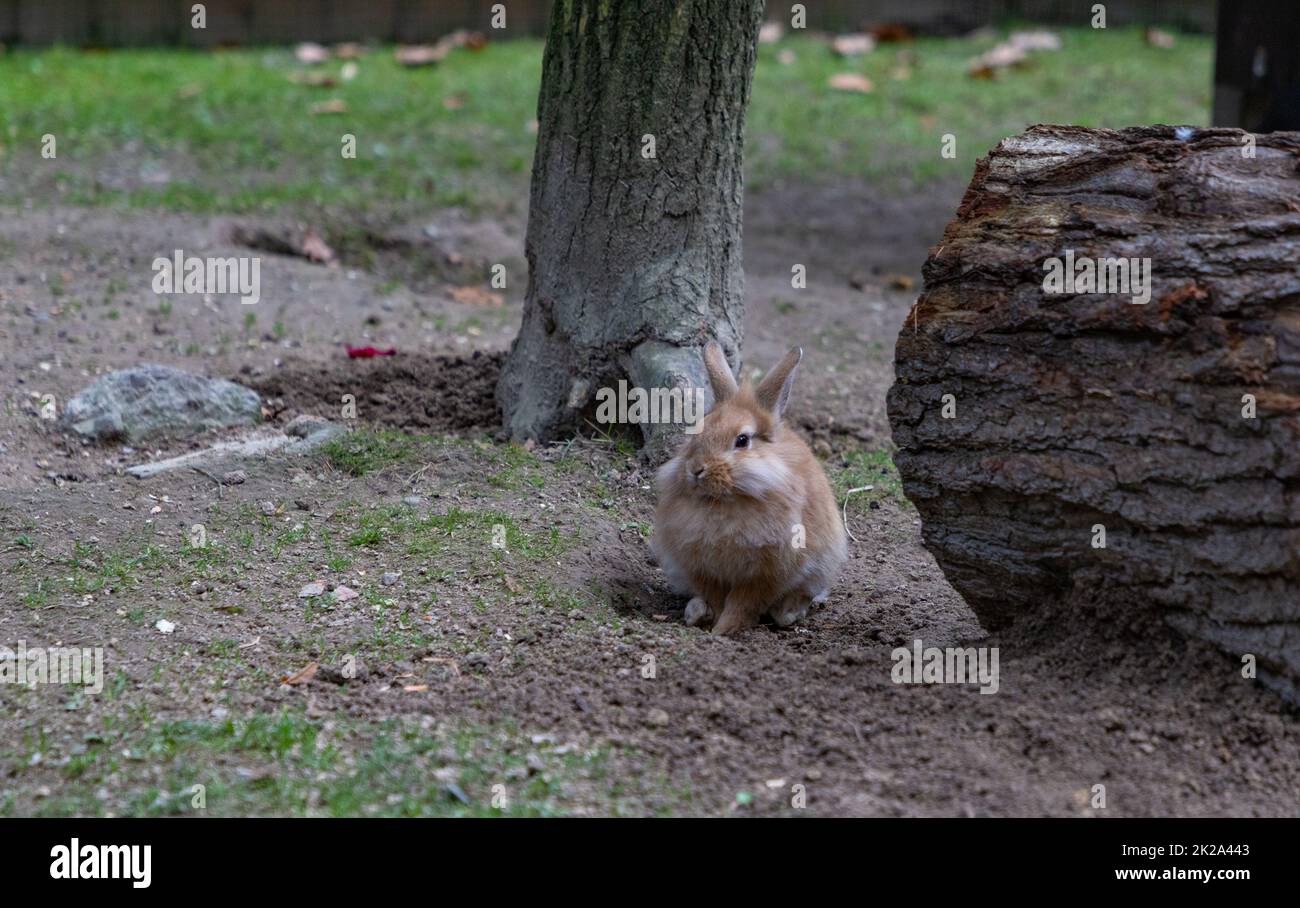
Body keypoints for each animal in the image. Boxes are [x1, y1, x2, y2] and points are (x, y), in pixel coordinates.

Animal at [650, 338, 852, 629]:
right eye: (697, 432)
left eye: (742, 440)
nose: (696, 469)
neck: (725, 501)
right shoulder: (703, 568)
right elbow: (716, 597)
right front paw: (713, 624)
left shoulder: (766, 574)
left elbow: (743, 604)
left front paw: (723, 630)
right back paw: (695, 612)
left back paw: (788, 612)